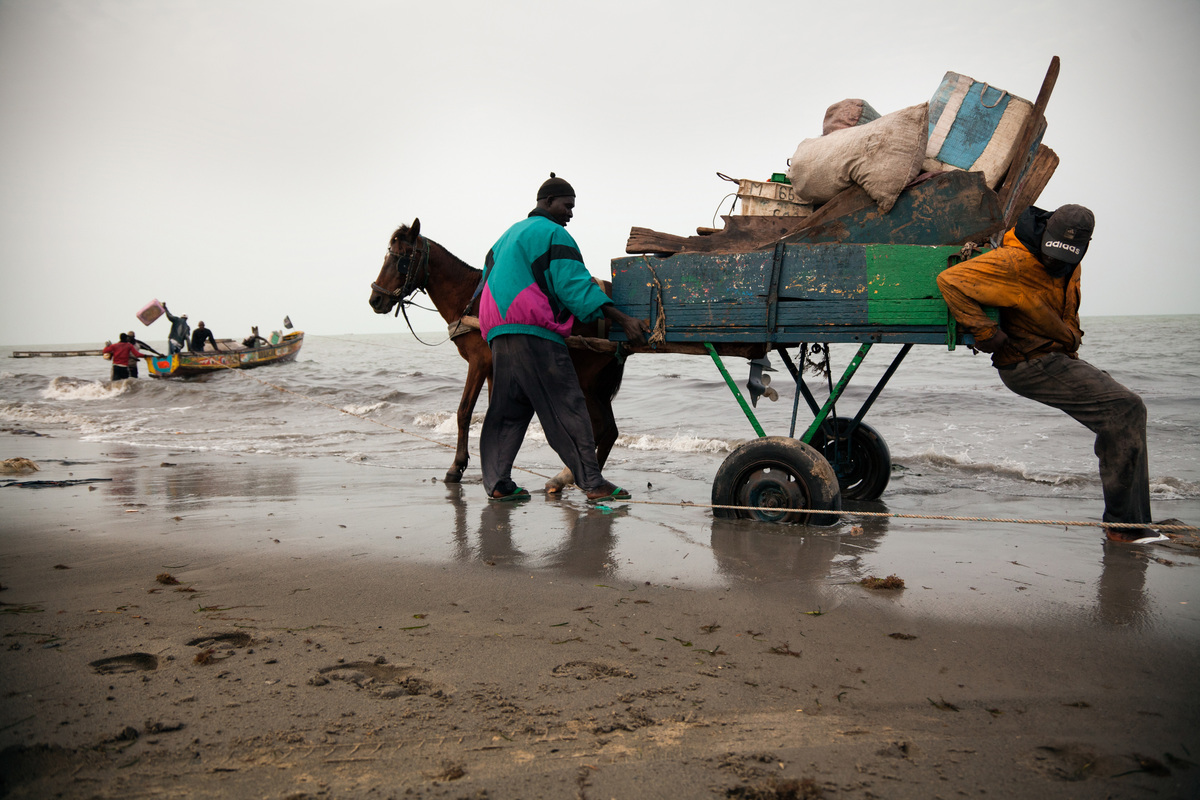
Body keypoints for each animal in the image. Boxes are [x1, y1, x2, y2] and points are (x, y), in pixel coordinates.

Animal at [367, 220, 628, 494]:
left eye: (402, 259)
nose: (376, 299)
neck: (469, 299)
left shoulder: (478, 363)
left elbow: (464, 411)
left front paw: (457, 467)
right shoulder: (494, 369)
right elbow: (496, 414)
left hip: (587, 378)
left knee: (601, 427)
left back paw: (576, 478)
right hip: (598, 382)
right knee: (609, 430)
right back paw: (569, 478)